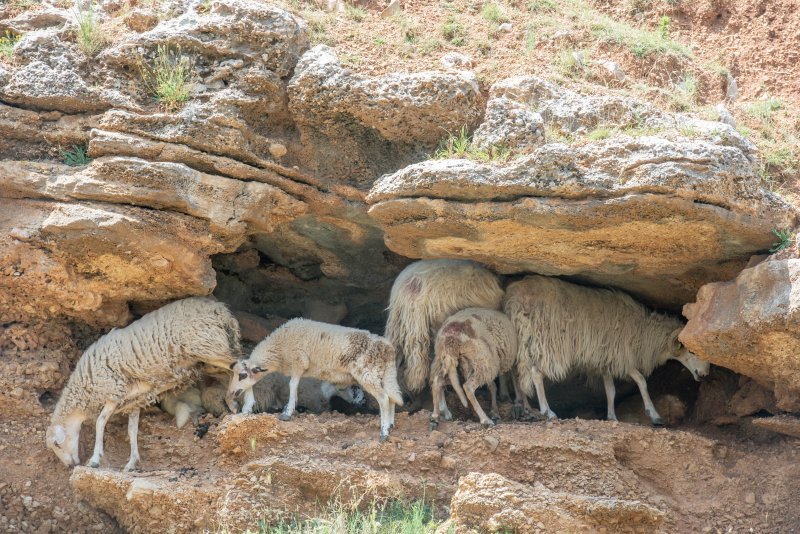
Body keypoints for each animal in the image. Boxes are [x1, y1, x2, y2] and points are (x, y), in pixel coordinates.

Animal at [46, 300, 241, 472]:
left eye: (57, 444)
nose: (70, 466)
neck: (84, 388)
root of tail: (220, 309)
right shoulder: (135, 399)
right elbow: (132, 430)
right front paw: (131, 462)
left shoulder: (114, 392)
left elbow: (100, 422)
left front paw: (95, 460)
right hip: (211, 358)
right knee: (231, 373)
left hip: (209, 347)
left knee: (241, 366)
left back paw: (235, 404)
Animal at [227, 320, 404, 442]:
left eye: (242, 375)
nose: (231, 393)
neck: (279, 349)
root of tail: (388, 349)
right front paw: (247, 407)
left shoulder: (298, 362)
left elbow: (292, 385)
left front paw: (287, 413)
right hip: (384, 374)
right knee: (391, 398)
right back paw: (390, 425)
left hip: (367, 373)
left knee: (383, 399)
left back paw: (384, 432)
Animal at [504, 276, 708, 428]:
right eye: (691, 351)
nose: (704, 374)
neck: (644, 332)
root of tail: (515, 297)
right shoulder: (621, 357)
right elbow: (641, 381)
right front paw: (654, 415)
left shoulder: (605, 360)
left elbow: (610, 390)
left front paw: (612, 416)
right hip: (545, 342)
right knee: (536, 373)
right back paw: (547, 411)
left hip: (522, 339)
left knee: (516, 372)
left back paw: (524, 406)